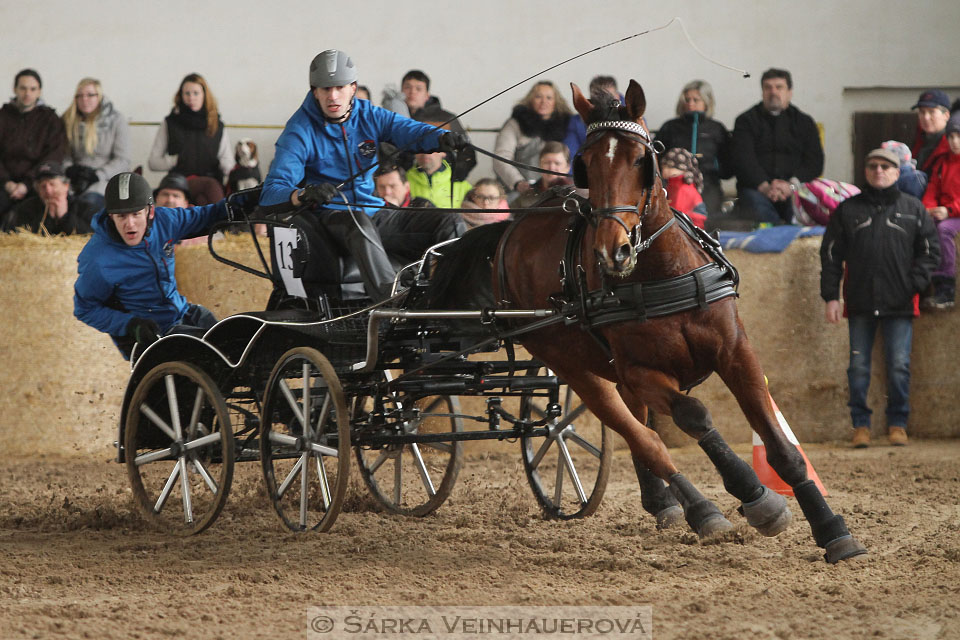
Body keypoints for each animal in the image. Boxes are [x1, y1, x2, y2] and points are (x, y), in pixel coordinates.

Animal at [426, 79, 864, 560]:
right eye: (585, 164)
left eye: (641, 160)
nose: (611, 251)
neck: (662, 274)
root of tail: (509, 229)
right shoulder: (641, 371)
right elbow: (693, 415)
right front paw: (756, 495)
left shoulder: (737, 352)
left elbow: (782, 446)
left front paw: (832, 529)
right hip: (573, 367)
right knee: (642, 437)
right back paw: (701, 510)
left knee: (640, 428)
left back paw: (664, 503)